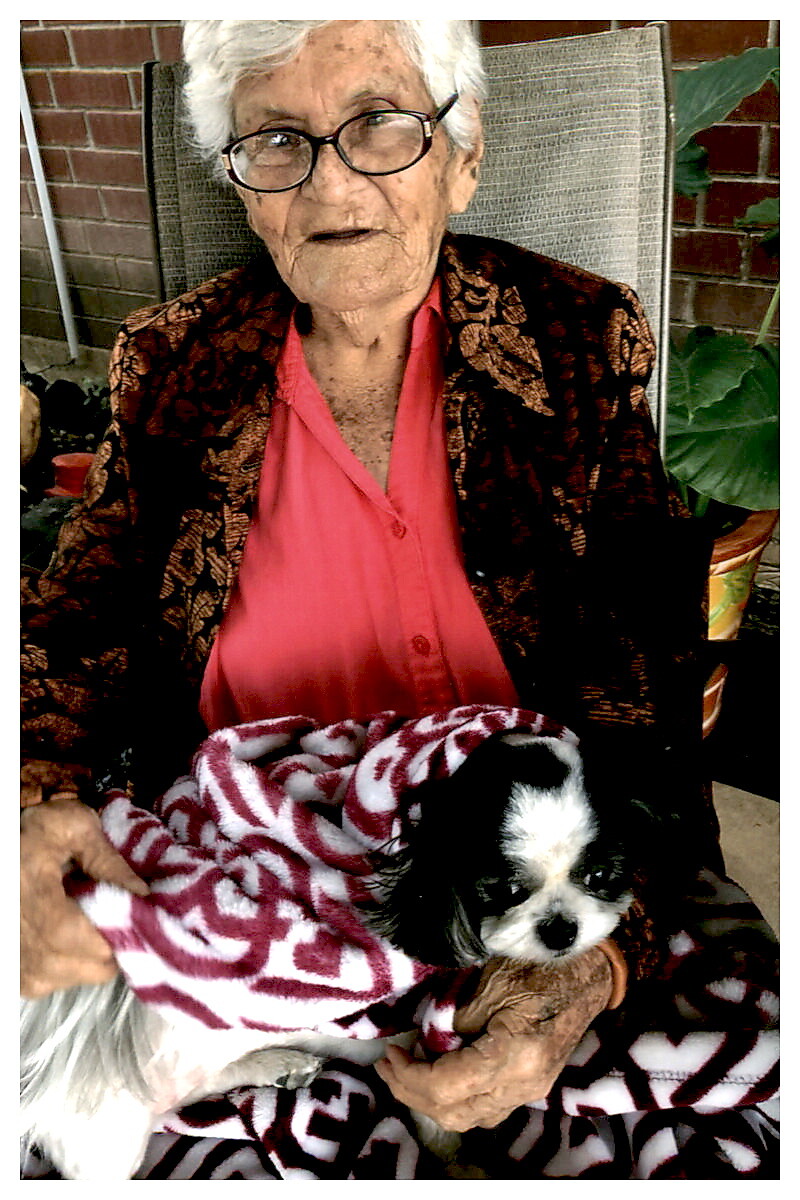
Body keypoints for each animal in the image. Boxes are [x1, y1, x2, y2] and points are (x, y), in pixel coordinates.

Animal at [21, 730, 677, 1179]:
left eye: (601, 875)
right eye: (506, 890)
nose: (561, 928)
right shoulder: (416, 1050)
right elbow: (437, 1115)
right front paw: (459, 1161)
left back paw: (274, 1063)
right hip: (107, 1133)